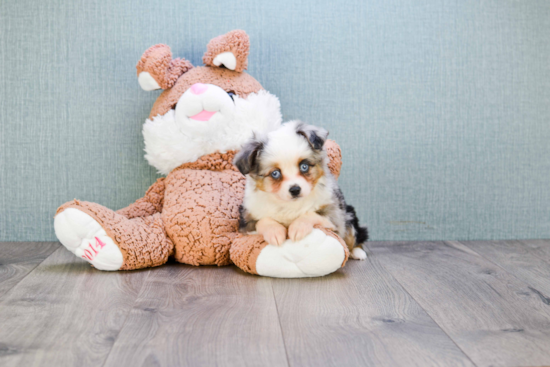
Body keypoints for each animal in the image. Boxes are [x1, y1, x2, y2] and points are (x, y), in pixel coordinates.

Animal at [234, 121, 368, 258]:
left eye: (304, 166)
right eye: (275, 173)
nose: (295, 190)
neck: (290, 204)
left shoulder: (336, 216)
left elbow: (312, 214)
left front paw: (297, 227)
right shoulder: (245, 222)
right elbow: (262, 221)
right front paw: (275, 232)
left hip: (349, 215)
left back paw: (357, 252)